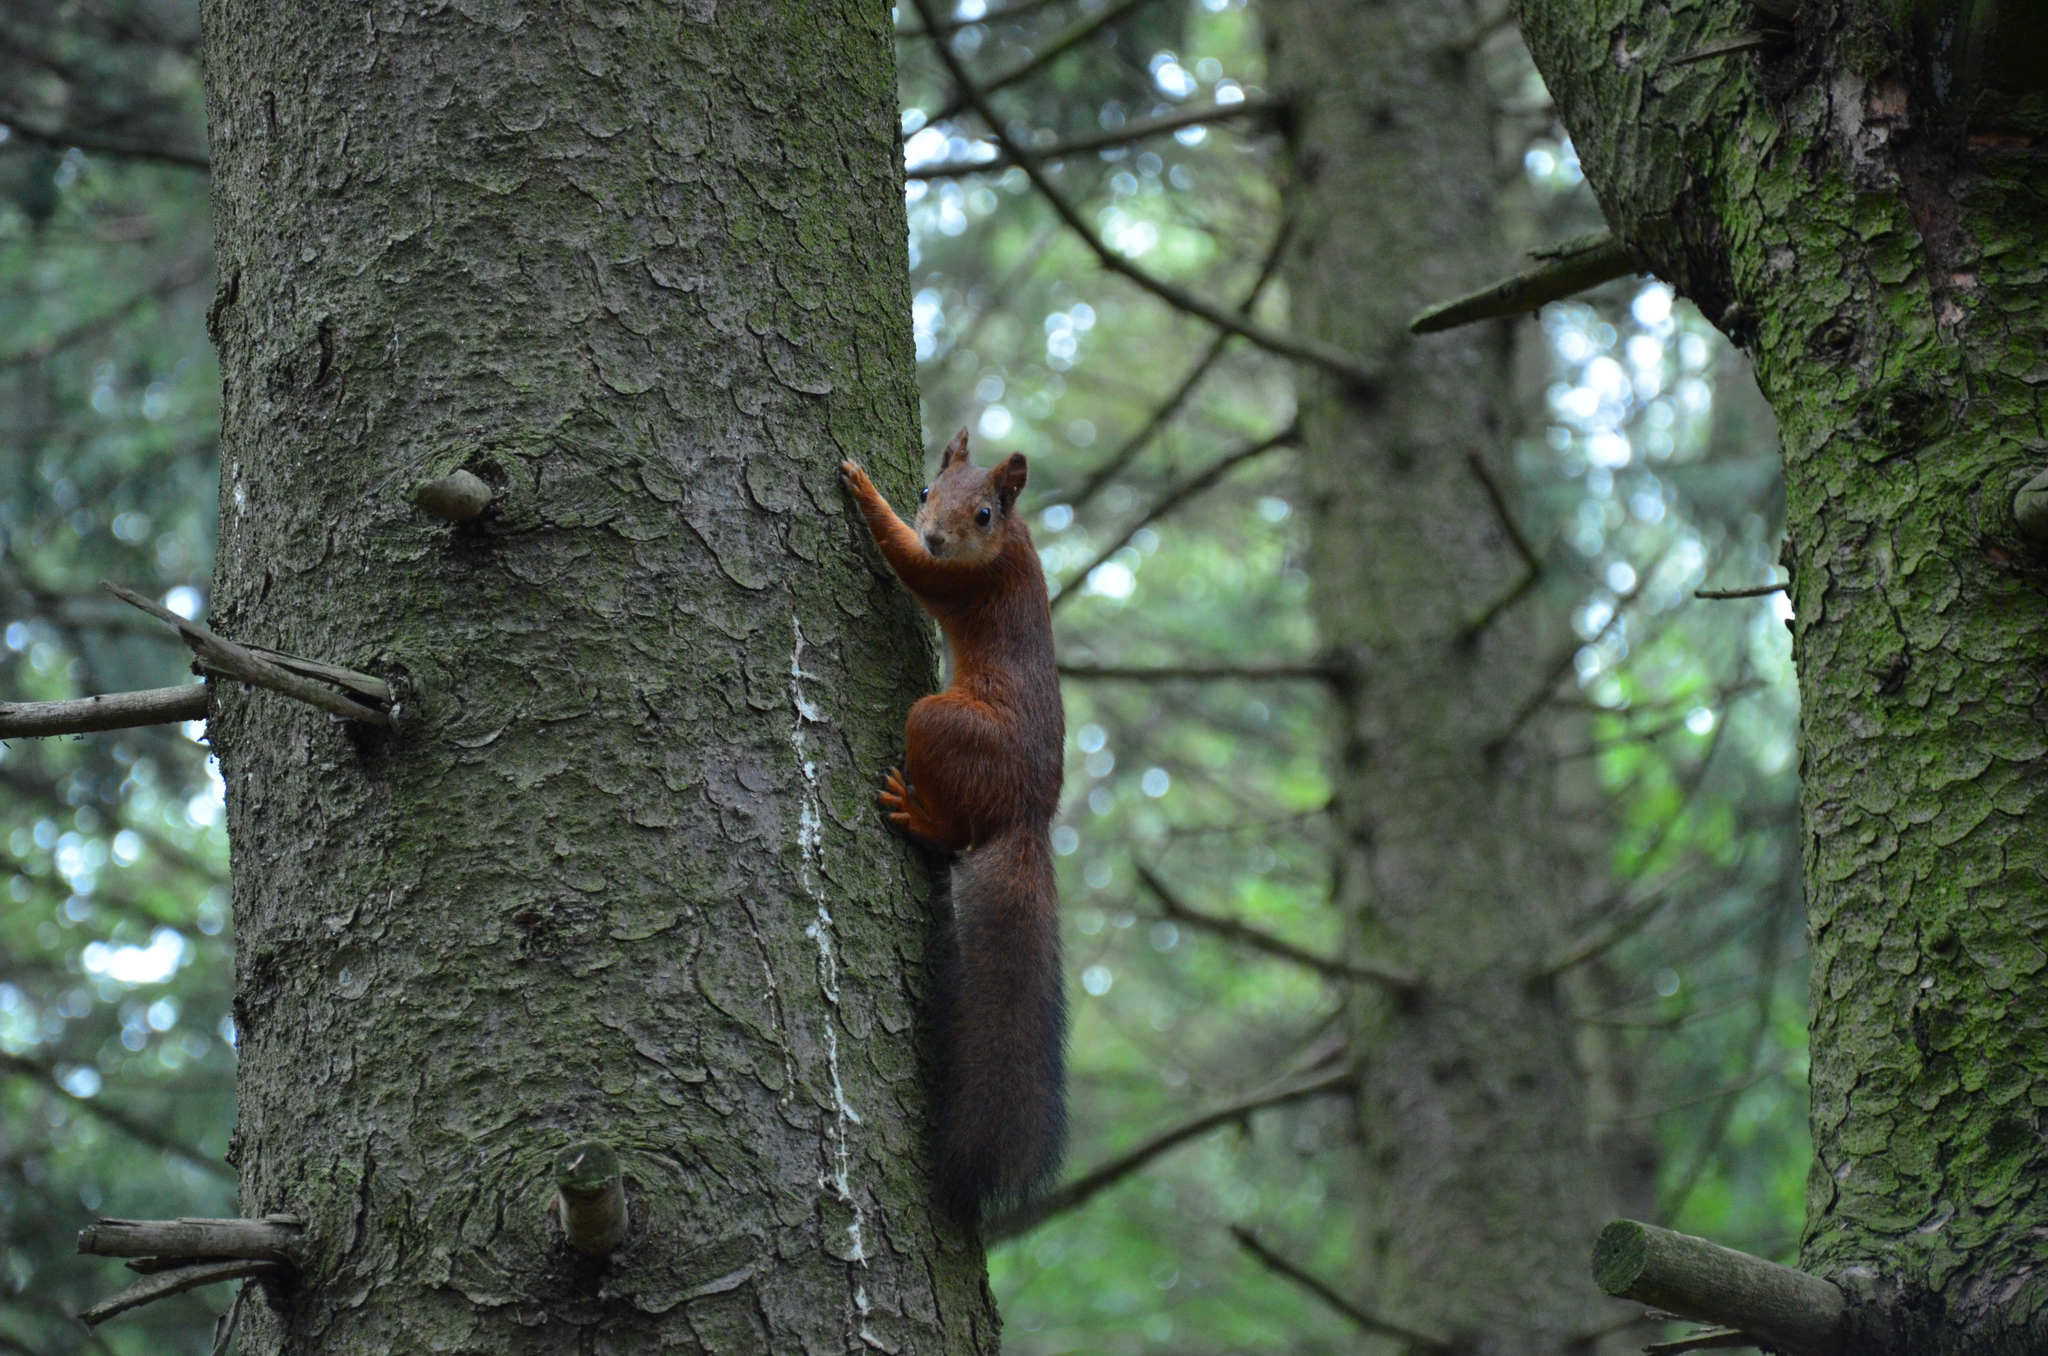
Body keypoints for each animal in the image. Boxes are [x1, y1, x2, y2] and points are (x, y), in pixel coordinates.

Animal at [839, 428, 1073, 1220]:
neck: (1010, 543)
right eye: (925, 491)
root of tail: (1030, 814)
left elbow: (908, 562)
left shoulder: (962, 582)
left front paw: (862, 489)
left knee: (955, 835)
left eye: (983, 514)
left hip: (940, 724)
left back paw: (916, 814)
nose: (937, 534)